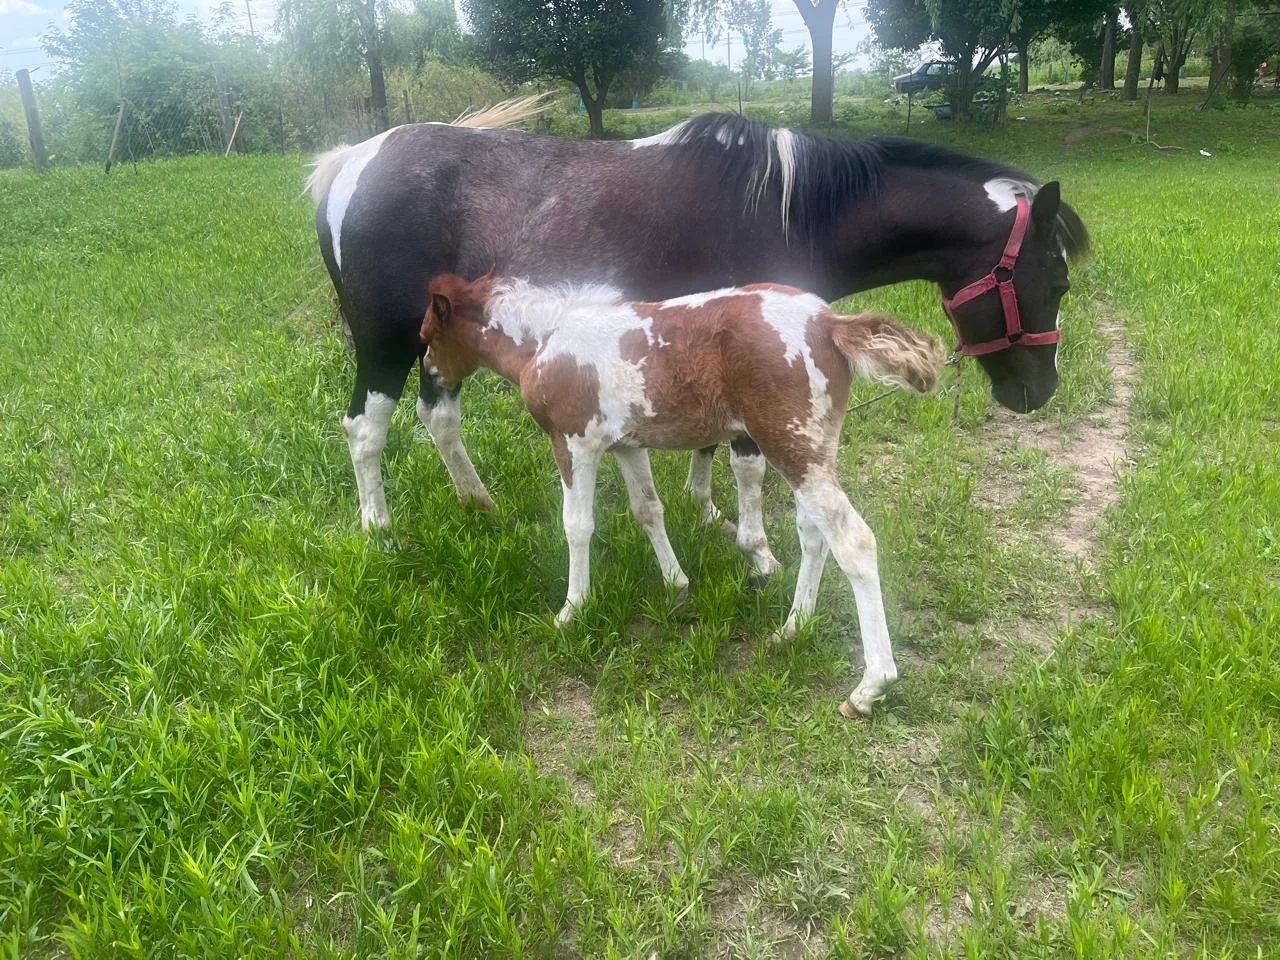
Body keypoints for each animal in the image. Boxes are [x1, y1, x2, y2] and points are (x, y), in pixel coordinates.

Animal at [306, 101, 1089, 577]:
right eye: (1055, 277)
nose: (1037, 390)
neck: (786, 208)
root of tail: (351, 164)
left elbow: (712, 446)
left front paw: (706, 510)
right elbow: (747, 461)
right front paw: (756, 549)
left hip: (442, 341)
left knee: (438, 416)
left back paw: (478, 503)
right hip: (386, 342)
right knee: (366, 429)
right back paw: (378, 528)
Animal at [419, 273, 946, 716]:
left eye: (428, 337)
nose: (430, 381)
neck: (547, 341)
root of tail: (830, 323)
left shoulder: (574, 442)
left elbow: (577, 526)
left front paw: (573, 609)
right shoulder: (628, 445)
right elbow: (648, 510)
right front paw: (676, 583)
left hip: (791, 447)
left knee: (853, 542)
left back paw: (870, 687)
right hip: (809, 452)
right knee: (814, 535)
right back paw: (792, 628)